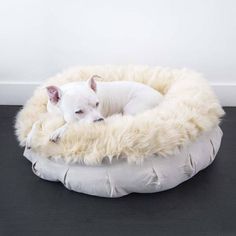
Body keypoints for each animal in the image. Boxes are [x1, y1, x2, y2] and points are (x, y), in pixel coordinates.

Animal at [25, 74, 162, 147]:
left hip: (132, 108)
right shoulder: (50, 114)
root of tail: (161, 97)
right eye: (78, 111)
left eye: (97, 104)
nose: (99, 120)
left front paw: (59, 131)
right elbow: (37, 121)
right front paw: (30, 137)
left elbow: (70, 124)